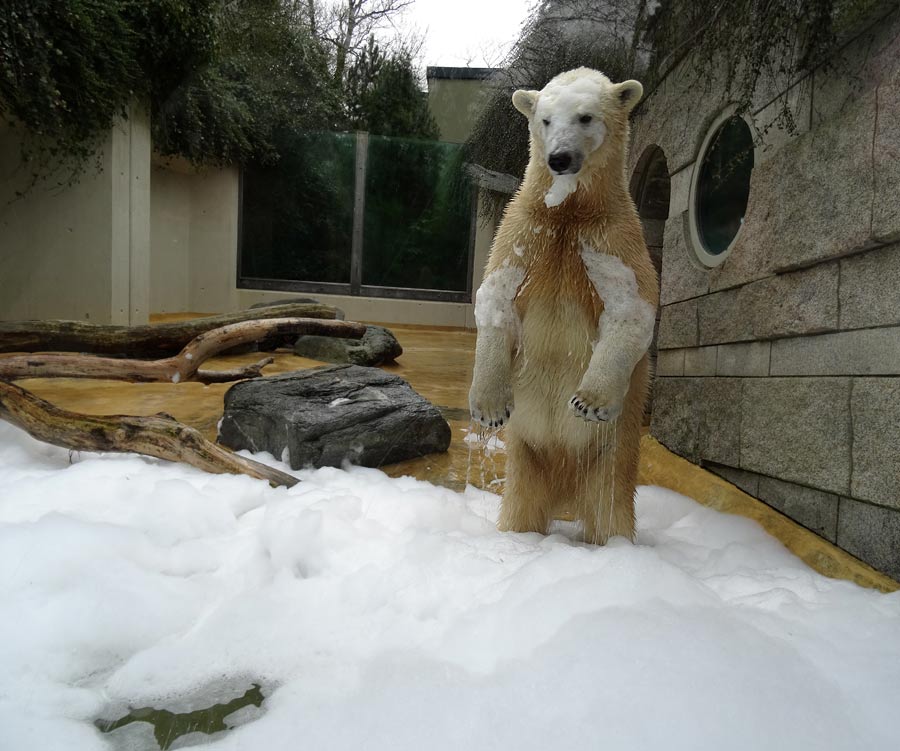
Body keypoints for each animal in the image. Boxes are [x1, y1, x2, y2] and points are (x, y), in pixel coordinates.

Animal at [472, 66, 660, 548]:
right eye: (545, 119)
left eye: (585, 116)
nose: (558, 158)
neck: (568, 213)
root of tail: (565, 489)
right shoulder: (523, 232)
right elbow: (495, 301)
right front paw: (489, 407)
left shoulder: (614, 242)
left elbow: (631, 312)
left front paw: (588, 401)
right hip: (526, 453)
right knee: (522, 503)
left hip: (611, 455)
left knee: (609, 510)